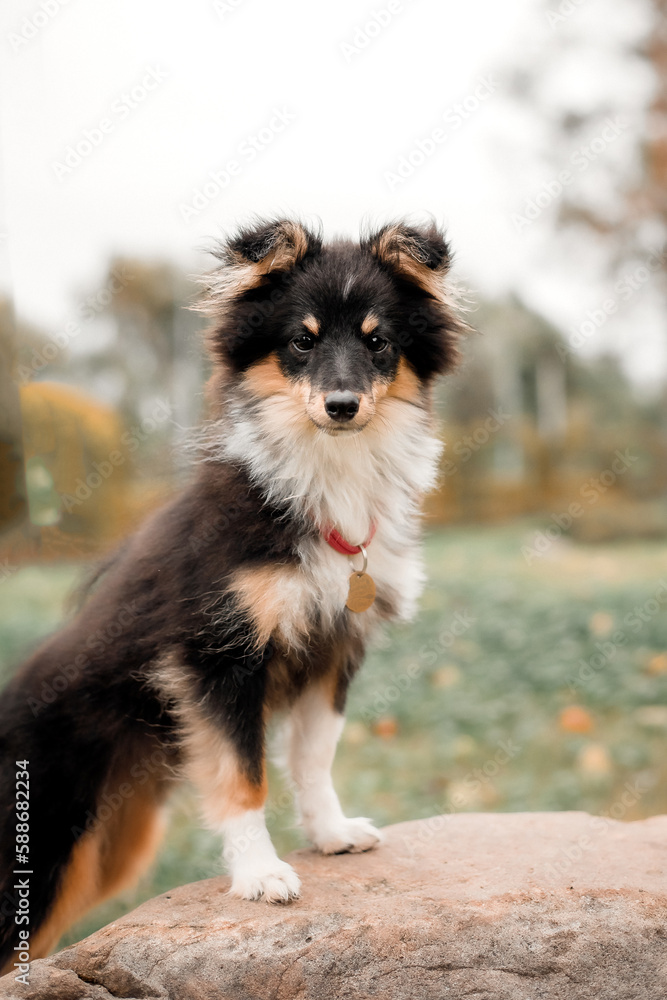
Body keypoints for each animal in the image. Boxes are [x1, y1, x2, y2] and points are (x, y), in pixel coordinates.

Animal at [0, 217, 464, 968]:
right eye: (301, 340)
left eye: (378, 341)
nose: (342, 407)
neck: (321, 483)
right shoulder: (216, 656)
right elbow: (244, 775)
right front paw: (261, 875)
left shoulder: (333, 649)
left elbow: (312, 756)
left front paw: (331, 832)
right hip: (46, 841)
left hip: (110, 848)